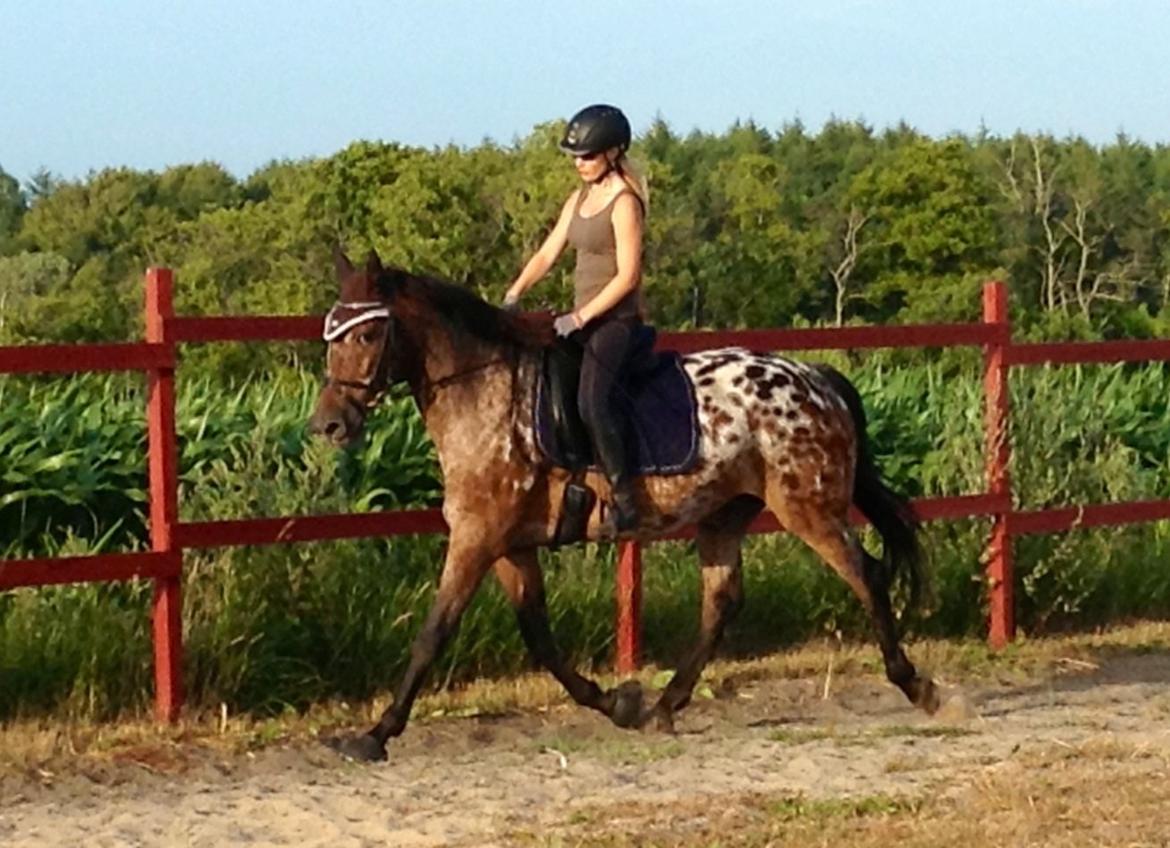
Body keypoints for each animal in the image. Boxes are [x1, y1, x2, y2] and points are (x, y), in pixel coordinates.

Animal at [308, 244, 940, 762]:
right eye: (330, 335)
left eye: (366, 336)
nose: (329, 425)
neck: (485, 393)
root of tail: (817, 377)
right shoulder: (509, 546)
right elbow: (539, 637)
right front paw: (617, 704)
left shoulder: (477, 539)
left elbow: (435, 631)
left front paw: (375, 734)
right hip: (724, 515)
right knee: (722, 600)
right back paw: (664, 706)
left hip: (809, 508)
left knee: (866, 574)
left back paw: (918, 686)